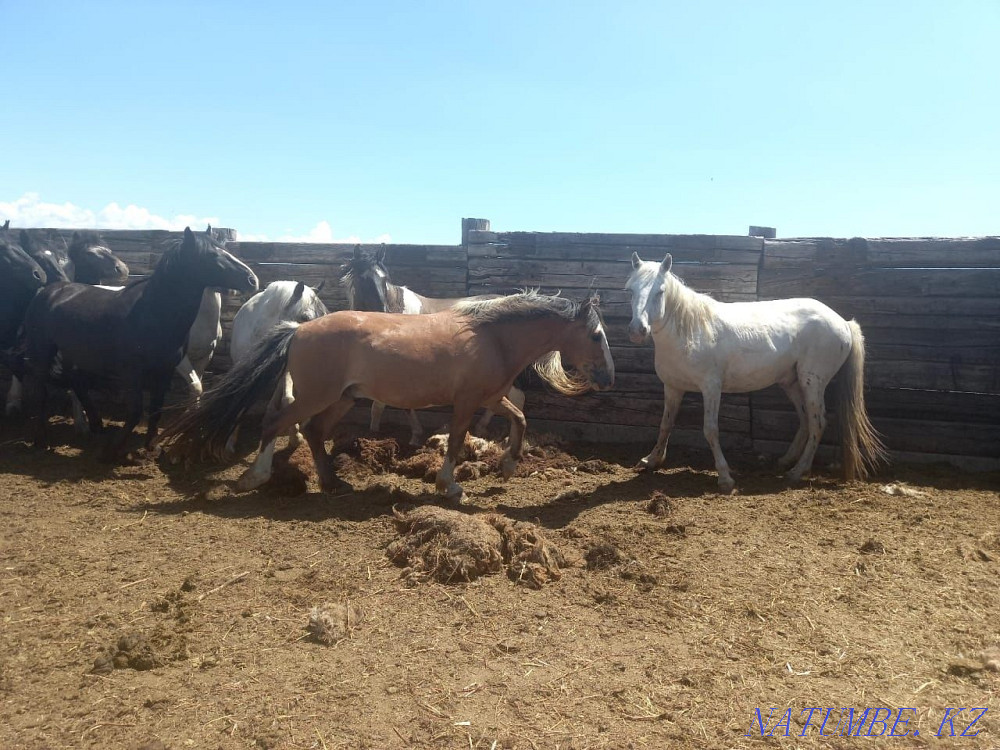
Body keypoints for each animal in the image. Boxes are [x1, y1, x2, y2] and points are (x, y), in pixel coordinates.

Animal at [20, 226, 258, 459]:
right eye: (211, 255)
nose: (252, 279)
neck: (150, 313)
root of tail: (48, 291)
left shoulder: (165, 370)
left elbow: (157, 407)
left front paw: (152, 446)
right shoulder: (132, 373)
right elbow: (135, 411)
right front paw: (113, 449)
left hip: (74, 352)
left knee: (76, 382)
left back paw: (95, 426)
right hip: (43, 352)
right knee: (41, 389)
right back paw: (42, 439)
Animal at [340, 245, 526, 443]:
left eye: (385, 280)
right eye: (364, 279)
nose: (383, 313)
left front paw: (415, 435)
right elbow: (378, 406)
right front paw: (373, 434)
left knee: (517, 396)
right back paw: (483, 428)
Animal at [625, 252, 886, 492]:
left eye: (660, 291)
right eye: (631, 291)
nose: (638, 330)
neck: (690, 332)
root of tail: (843, 323)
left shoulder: (711, 388)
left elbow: (710, 430)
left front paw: (725, 478)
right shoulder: (673, 387)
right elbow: (665, 424)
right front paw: (650, 460)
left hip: (812, 383)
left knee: (818, 423)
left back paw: (797, 471)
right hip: (792, 383)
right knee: (805, 420)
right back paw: (785, 461)